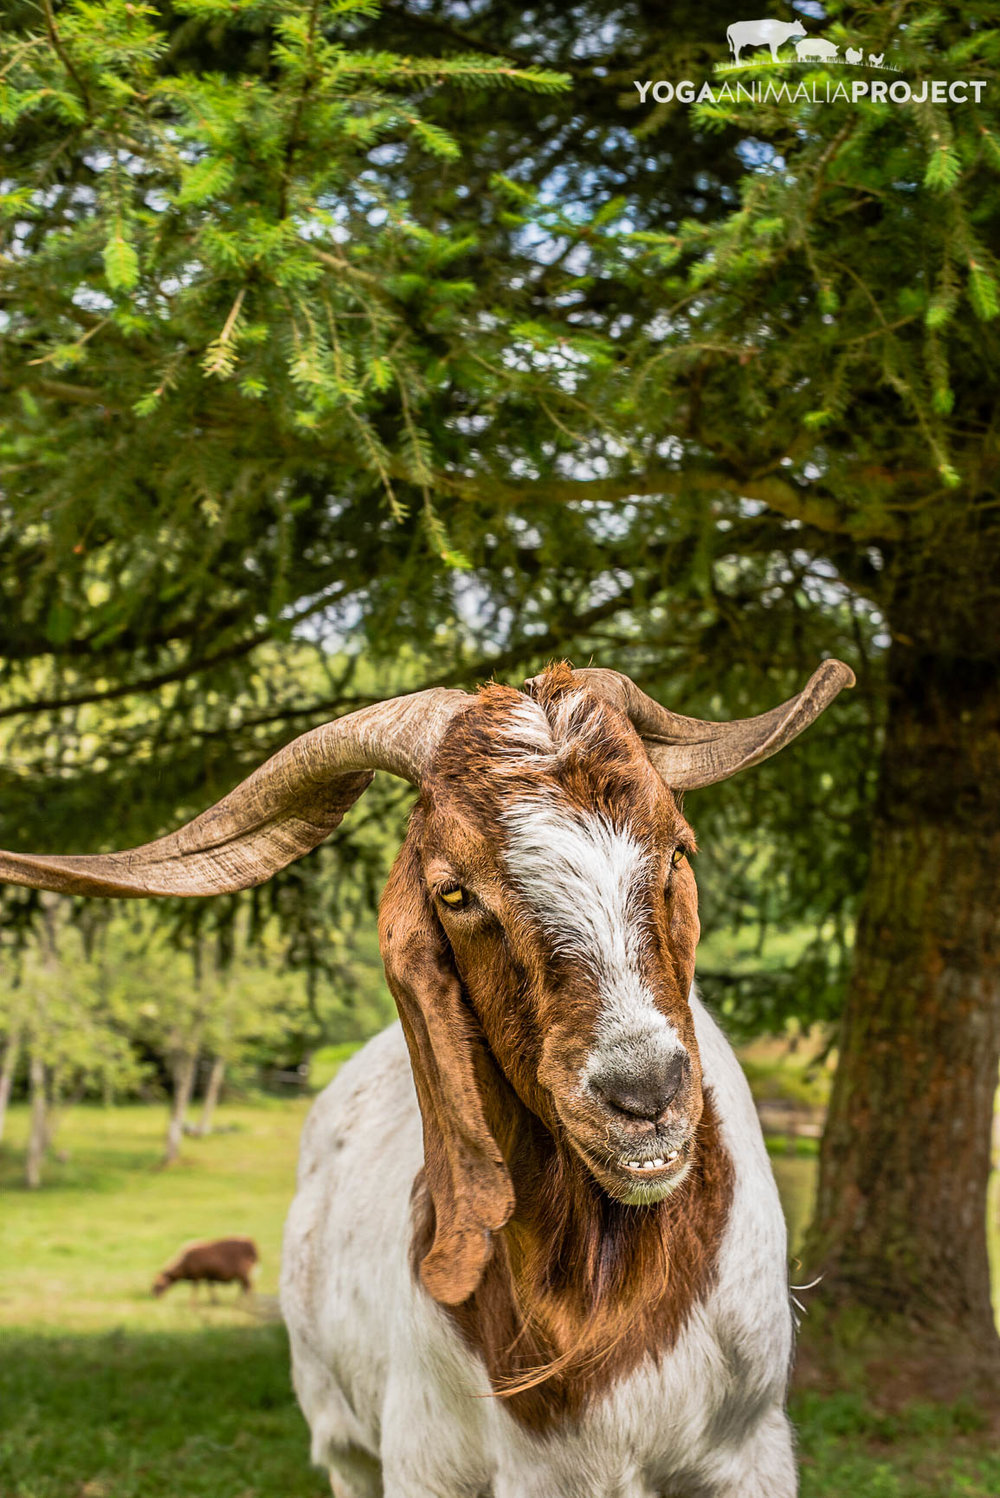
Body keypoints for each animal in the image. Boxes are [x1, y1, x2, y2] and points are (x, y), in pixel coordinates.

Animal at [0, 662, 850, 1492]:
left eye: (677, 849)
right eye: (455, 891)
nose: (645, 1095)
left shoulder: (751, 1456)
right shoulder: (425, 1463)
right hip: (343, 1440)